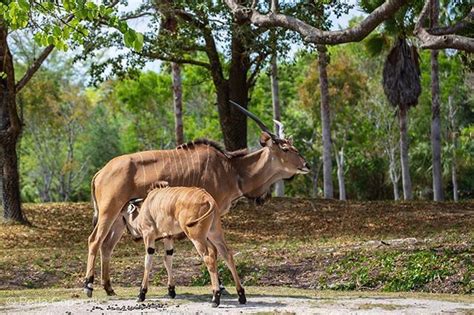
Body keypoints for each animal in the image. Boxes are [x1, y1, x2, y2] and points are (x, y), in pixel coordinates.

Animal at [83, 101, 310, 302]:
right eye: (286, 149)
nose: (306, 165)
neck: (232, 170)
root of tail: (101, 172)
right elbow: (213, 252)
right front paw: (221, 288)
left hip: (121, 218)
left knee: (107, 245)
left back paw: (109, 288)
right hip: (109, 212)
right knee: (94, 240)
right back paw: (88, 285)